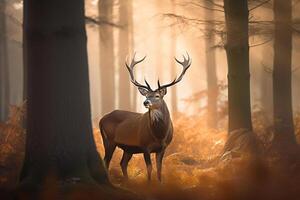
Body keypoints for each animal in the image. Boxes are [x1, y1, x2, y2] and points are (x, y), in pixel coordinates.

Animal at [99, 52, 191, 181]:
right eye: (146, 95)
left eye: (157, 96)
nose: (145, 102)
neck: (159, 135)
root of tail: (101, 119)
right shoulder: (144, 146)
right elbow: (149, 168)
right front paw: (149, 184)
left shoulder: (163, 148)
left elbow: (159, 169)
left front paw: (160, 183)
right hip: (108, 140)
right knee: (106, 161)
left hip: (128, 148)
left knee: (123, 163)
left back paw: (127, 181)